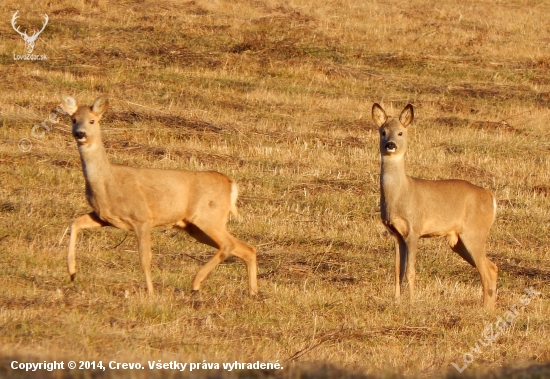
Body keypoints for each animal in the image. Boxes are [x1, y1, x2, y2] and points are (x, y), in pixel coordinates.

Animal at [62, 96, 258, 298]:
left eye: (92, 120)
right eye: (74, 119)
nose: (80, 133)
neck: (107, 181)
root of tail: (230, 184)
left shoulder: (141, 218)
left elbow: (144, 259)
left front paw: (150, 292)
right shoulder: (103, 217)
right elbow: (75, 222)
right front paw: (72, 272)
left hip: (208, 216)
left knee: (228, 245)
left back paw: (196, 282)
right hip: (196, 227)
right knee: (246, 248)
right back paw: (253, 293)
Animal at [376, 102, 500, 310]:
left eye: (400, 132)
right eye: (383, 132)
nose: (390, 145)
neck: (401, 193)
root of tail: (491, 198)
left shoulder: (414, 229)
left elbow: (410, 271)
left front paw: (412, 303)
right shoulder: (396, 234)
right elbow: (397, 270)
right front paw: (396, 302)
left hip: (475, 232)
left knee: (487, 270)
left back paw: (484, 310)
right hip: (458, 240)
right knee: (492, 267)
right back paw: (489, 310)